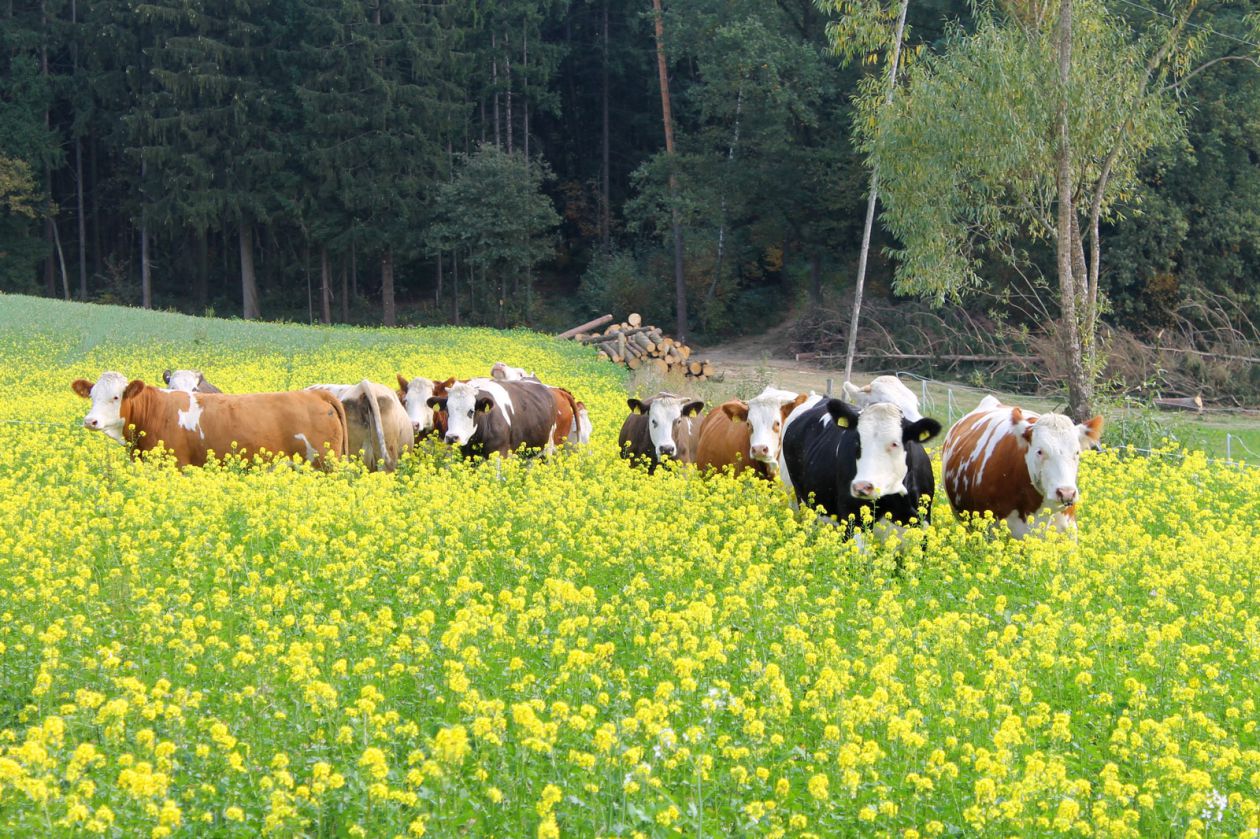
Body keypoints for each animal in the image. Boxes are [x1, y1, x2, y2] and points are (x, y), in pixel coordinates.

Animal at [428, 377, 577, 458]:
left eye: (471, 411)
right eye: (447, 410)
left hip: (549, 450)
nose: (452, 437)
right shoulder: (468, 454)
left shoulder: (499, 454)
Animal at [776, 393, 947, 536]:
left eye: (894, 443)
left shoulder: (923, 523)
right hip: (799, 498)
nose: (862, 487)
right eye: (857, 441)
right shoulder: (853, 519)